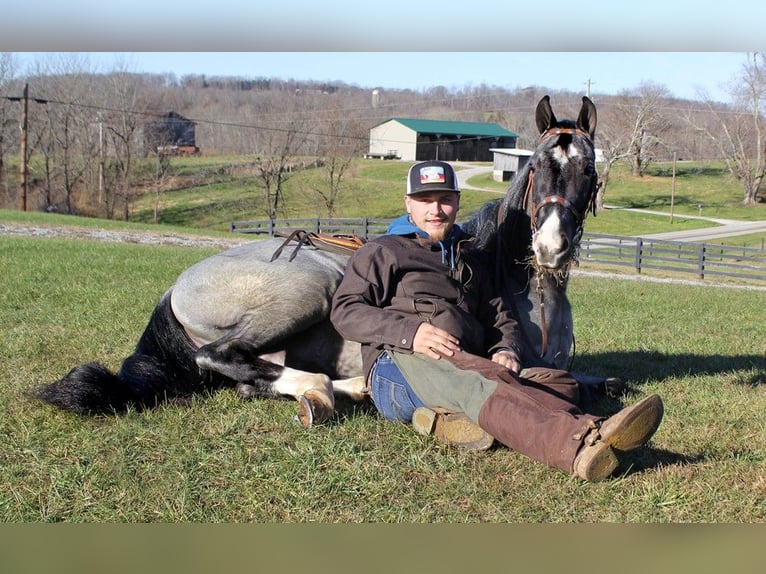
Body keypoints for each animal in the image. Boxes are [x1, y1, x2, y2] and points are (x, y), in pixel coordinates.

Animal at [34, 94, 600, 428]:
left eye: (590, 169)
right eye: (539, 165)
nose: (551, 247)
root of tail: (176, 289)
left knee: (243, 376)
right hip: (310, 292)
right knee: (221, 356)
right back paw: (322, 388)